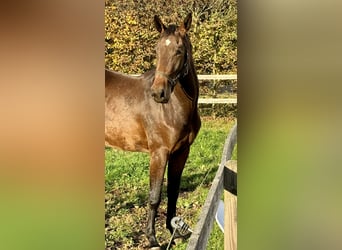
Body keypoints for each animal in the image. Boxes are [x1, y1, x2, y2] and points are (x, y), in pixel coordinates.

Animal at [105, 13, 200, 248]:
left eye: (179, 50)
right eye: (157, 50)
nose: (159, 93)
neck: (174, 108)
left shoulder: (181, 152)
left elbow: (173, 191)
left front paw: (174, 231)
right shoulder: (159, 153)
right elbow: (155, 197)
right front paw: (152, 238)